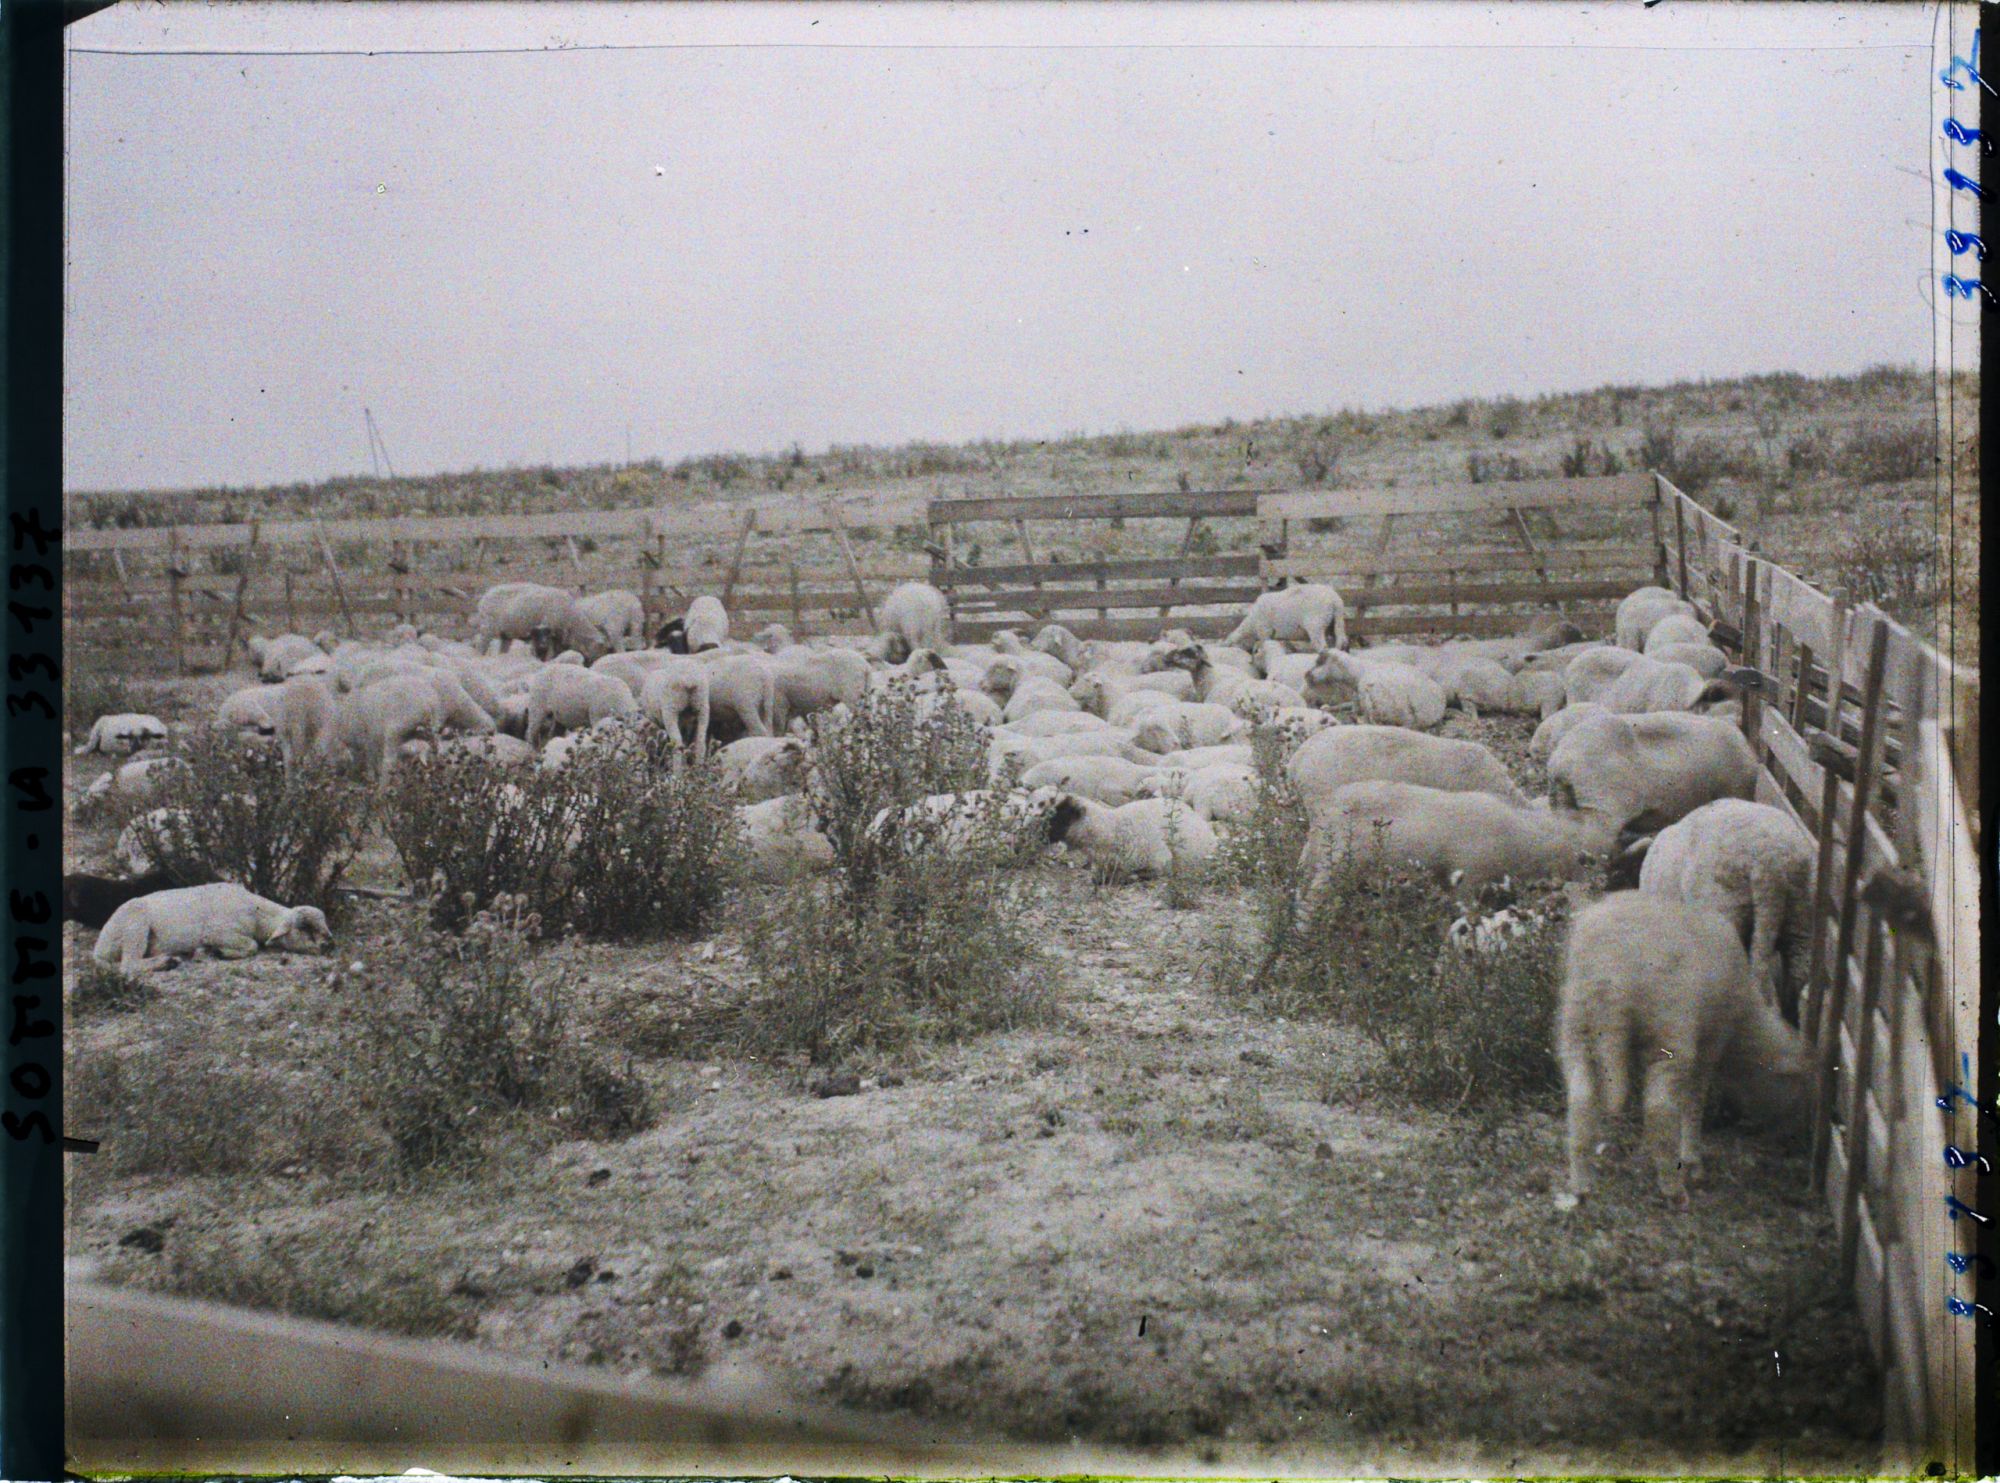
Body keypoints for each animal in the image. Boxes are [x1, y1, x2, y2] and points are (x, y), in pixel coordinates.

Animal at [92, 882, 333, 974]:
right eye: (305, 929)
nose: (328, 945)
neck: (255, 913)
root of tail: (99, 948)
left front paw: (205, 952)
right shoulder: (218, 932)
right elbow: (252, 945)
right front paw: (218, 952)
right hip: (135, 924)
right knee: (128, 965)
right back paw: (167, 961)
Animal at [470, 582, 610, 660]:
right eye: (603, 650)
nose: (593, 663)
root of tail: (483, 598)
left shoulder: (559, 635)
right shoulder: (549, 632)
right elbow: (551, 653)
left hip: (506, 634)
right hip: (487, 627)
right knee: (481, 646)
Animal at [1555, 891, 1808, 1208]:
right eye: (1798, 1087)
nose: (1796, 1136)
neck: (1744, 1022)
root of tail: (1611, 973)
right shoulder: (1710, 1041)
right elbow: (1694, 1099)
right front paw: (1691, 1160)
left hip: (1577, 1025)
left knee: (1581, 1100)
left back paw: (1581, 1183)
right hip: (1670, 1030)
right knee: (1659, 1109)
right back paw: (1673, 1188)